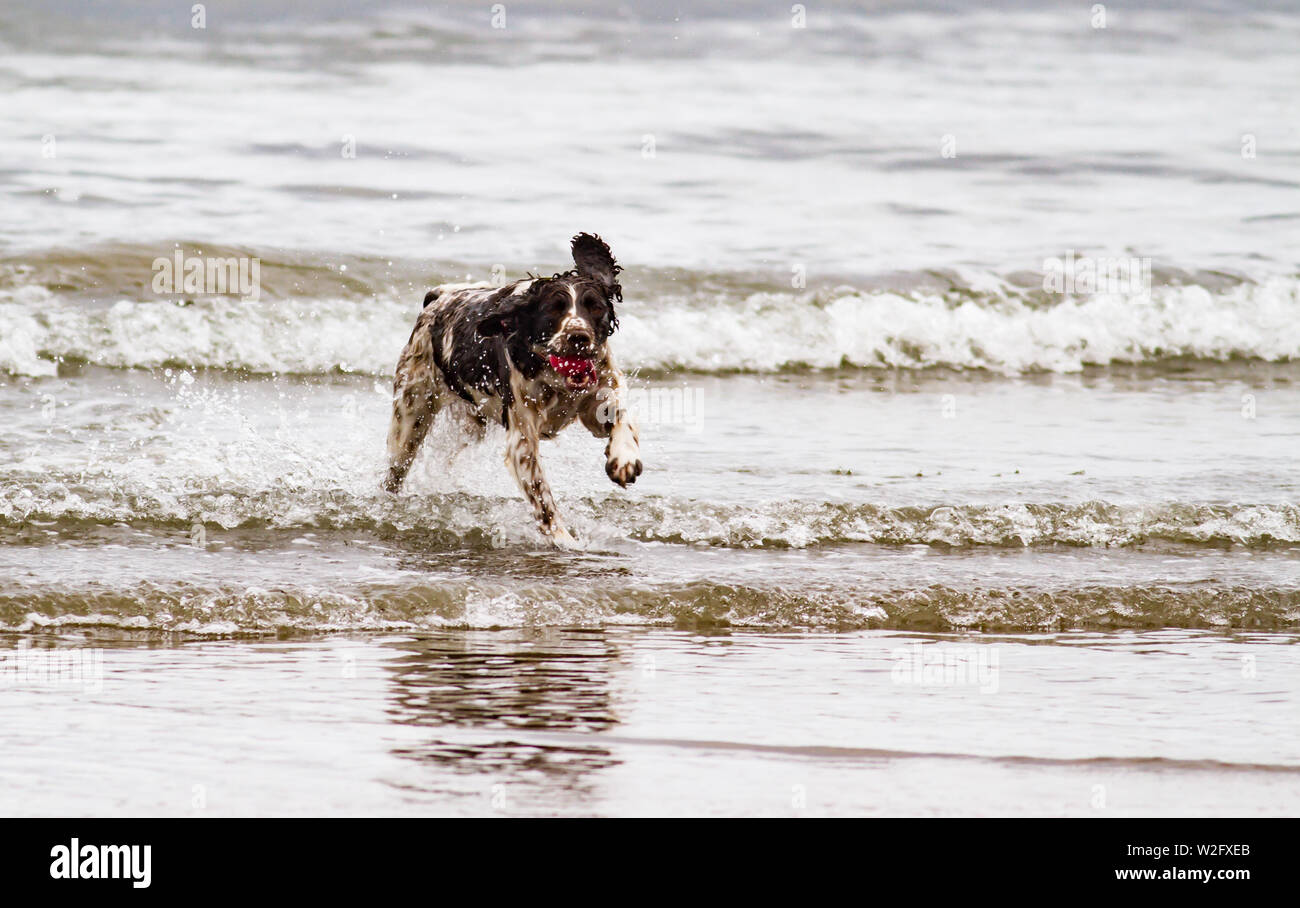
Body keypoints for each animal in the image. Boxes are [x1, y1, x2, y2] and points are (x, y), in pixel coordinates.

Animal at [382, 231, 642, 543]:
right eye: (553, 310)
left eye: (596, 307)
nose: (578, 337)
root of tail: (439, 297)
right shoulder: (522, 439)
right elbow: (543, 498)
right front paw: (564, 540)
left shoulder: (597, 402)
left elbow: (620, 418)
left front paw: (624, 458)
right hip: (410, 417)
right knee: (395, 470)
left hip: (469, 425)